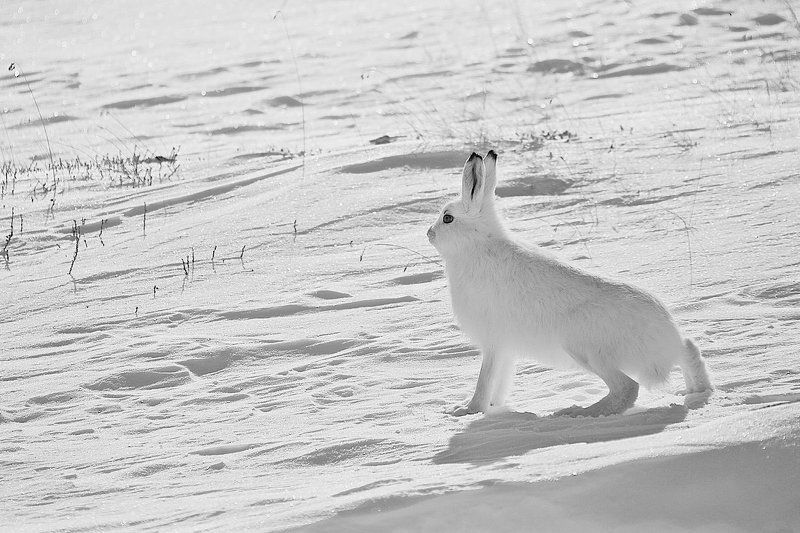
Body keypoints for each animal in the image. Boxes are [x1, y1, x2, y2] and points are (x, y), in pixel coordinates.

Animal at [426, 151, 712, 417]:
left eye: (448, 218)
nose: (429, 233)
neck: (477, 246)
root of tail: (666, 343)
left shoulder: (494, 341)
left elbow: (485, 379)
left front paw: (466, 410)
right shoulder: (506, 349)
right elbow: (500, 381)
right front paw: (492, 407)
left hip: (585, 348)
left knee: (627, 388)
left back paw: (579, 412)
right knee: (690, 351)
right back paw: (697, 391)